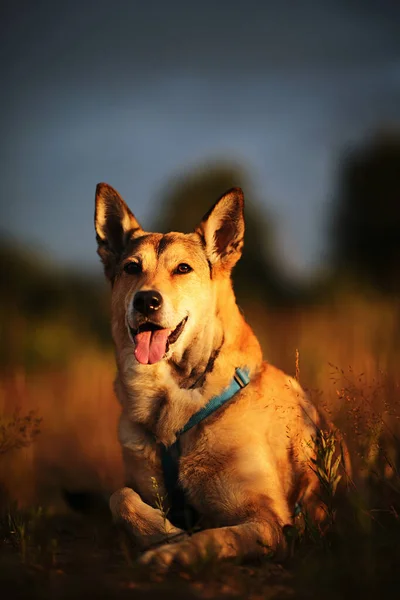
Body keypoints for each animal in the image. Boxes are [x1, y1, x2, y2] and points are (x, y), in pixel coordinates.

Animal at [95, 183, 330, 572]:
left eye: (183, 269)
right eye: (131, 268)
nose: (146, 301)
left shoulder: (269, 521)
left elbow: (217, 537)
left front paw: (173, 550)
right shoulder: (137, 486)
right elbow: (120, 497)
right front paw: (166, 532)